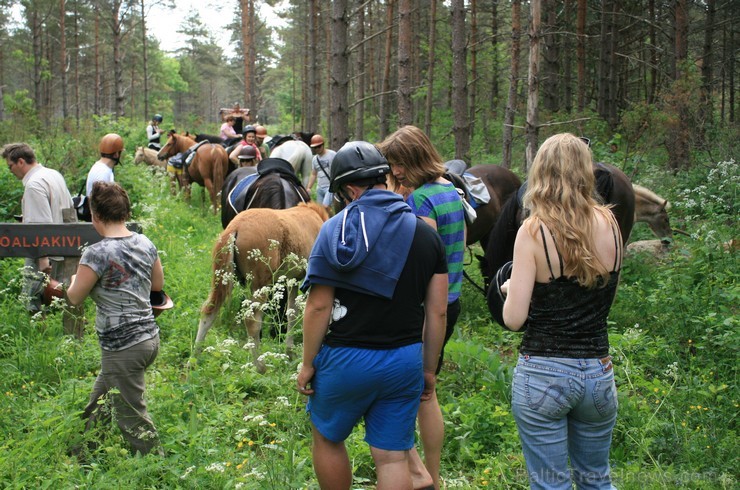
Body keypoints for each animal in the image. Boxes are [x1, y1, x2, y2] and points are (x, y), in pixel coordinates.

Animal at [195, 202, 328, 372]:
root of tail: (235, 227)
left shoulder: (292, 280)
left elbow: (292, 312)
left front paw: (290, 352)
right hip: (260, 284)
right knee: (252, 321)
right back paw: (260, 366)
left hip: (221, 279)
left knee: (208, 311)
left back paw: (193, 361)